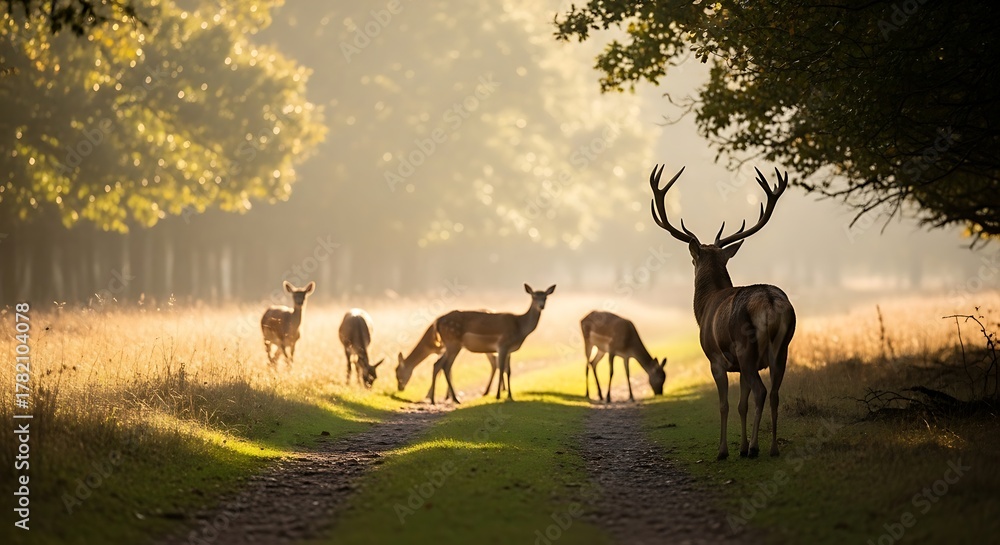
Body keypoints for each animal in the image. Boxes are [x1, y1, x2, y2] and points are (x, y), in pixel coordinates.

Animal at [426, 284, 556, 404]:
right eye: (534, 296)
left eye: (546, 297)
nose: (541, 306)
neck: (520, 328)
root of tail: (437, 321)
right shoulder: (503, 344)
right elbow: (501, 368)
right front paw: (498, 396)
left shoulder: (509, 350)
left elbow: (509, 371)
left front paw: (510, 396)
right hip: (453, 342)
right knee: (446, 366)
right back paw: (455, 399)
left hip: (450, 345)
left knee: (437, 364)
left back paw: (433, 400)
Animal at [649, 165, 796, 460]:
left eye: (693, 259)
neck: (704, 307)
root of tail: (771, 302)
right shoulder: (739, 367)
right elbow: (741, 404)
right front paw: (740, 447)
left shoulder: (716, 359)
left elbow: (725, 405)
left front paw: (724, 450)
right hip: (782, 349)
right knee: (775, 392)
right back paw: (772, 448)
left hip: (746, 347)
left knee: (762, 391)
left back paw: (756, 448)